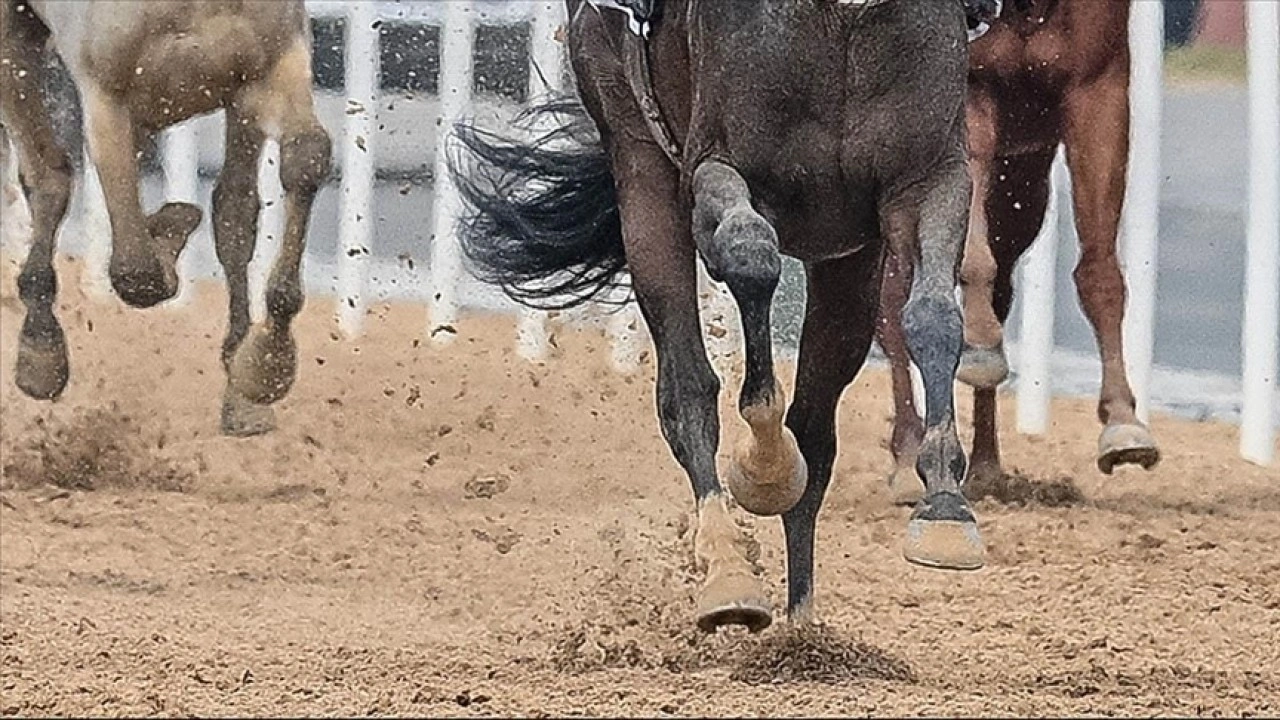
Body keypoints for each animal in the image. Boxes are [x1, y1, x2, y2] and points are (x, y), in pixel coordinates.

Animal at [1, 1, 330, 430]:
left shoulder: (270, 66)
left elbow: (307, 158)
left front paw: (266, 365)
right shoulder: (106, 97)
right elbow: (135, 272)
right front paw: (170, 233)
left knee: (234, 209)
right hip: (14, 42)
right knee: (48, 179)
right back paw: (41, 350)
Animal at [450, 0, 988, 627]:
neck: (838, 17)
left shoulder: (928, 178)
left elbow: (933, 315)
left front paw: (946, 507)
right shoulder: (715, 169)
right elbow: (751, 258)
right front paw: (765, 467)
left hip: (847, 264)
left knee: (815, 427)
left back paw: (802, 627)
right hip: (639, 171)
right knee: (687, 393)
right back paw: (729, 573)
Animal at [880, 0, 1162, 504]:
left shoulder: (1097, 88)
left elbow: (1099, 269)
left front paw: (1123, 420)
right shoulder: (970, 91)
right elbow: (968, 260)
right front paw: (977, 344)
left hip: (1022, 185)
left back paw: (985, 466)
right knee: (893, 302)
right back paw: (910, 453)